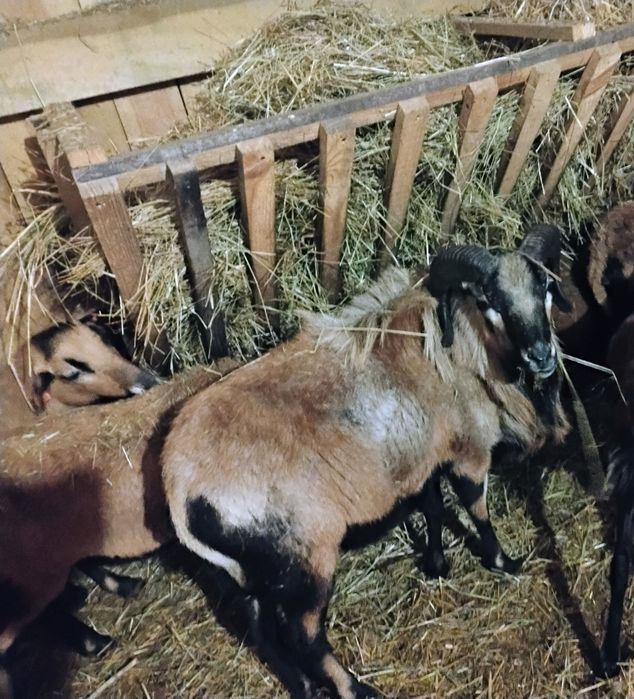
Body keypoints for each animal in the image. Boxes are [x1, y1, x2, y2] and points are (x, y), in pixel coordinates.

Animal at [162, 225, 570, 699]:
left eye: (544, 287)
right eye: (491, 302)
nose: (542, 355)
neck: (458, 348)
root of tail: (179, 490)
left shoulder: (421, 459)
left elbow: (432, 508)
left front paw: (437, 565)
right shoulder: (468, 452)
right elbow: (477, 511)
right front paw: (505, 562)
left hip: (250, 570)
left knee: (262, 629)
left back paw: (303, 687)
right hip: (306, 560)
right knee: (304, 635)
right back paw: (355, 688)